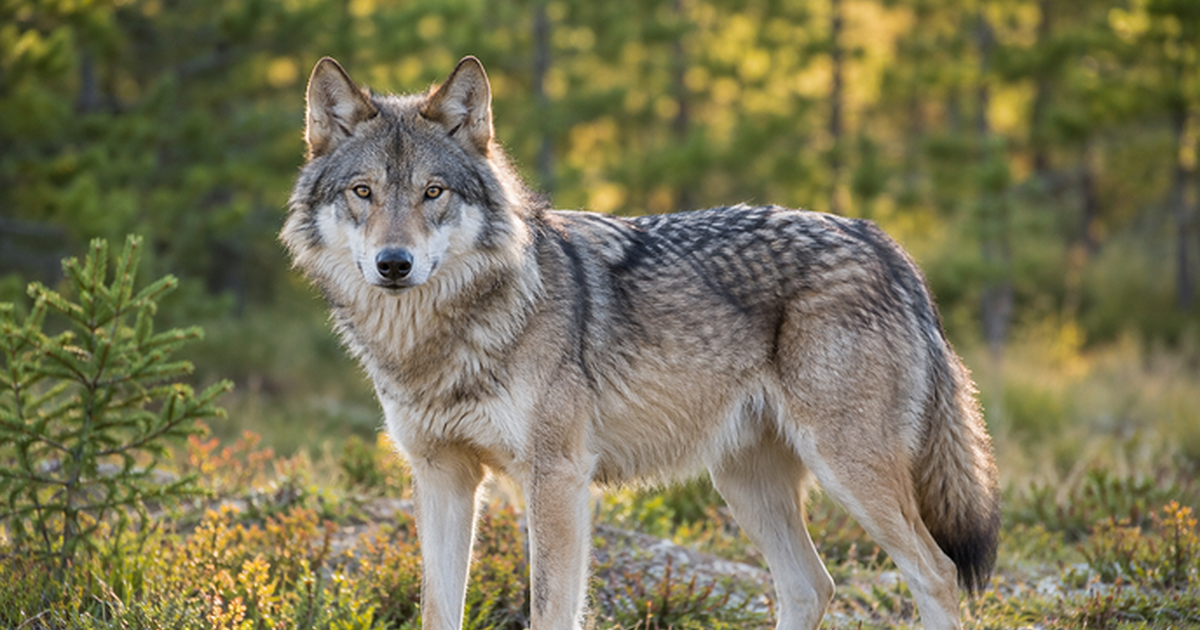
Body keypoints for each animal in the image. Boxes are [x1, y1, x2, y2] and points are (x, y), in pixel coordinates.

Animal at [281, 55, 1000, 630]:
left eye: (433, 192)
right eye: (363, 192)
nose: (393, 264)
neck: (439, 340)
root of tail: (884, 244)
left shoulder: (557, 480)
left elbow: (550, 611)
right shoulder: (442, 478)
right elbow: (438, 610)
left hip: (848, 471)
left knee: (935, 573)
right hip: (744, 482)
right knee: (810, 587)